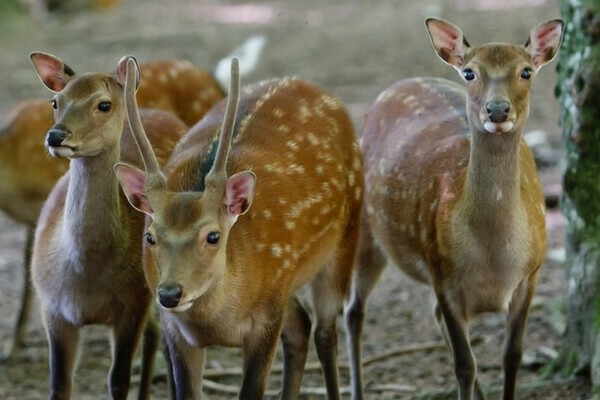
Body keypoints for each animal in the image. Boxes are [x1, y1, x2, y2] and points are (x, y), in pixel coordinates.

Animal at [28, 53, 190, 400]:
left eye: (103, 104)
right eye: (55, 101)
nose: (55, 136)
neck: (84, 279)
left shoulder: (132, 304)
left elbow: (118, 380)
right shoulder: (52, 306)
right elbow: (59, 385)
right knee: (157, 336)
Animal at [115, 57, 364, 400]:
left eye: (213, 236)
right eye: (150, 236)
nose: (170, 294)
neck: (217, 324)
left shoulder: (267, 316)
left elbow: (252, 391)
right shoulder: (175, 330)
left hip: (347, 235)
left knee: (325, 333)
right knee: (301, 325)